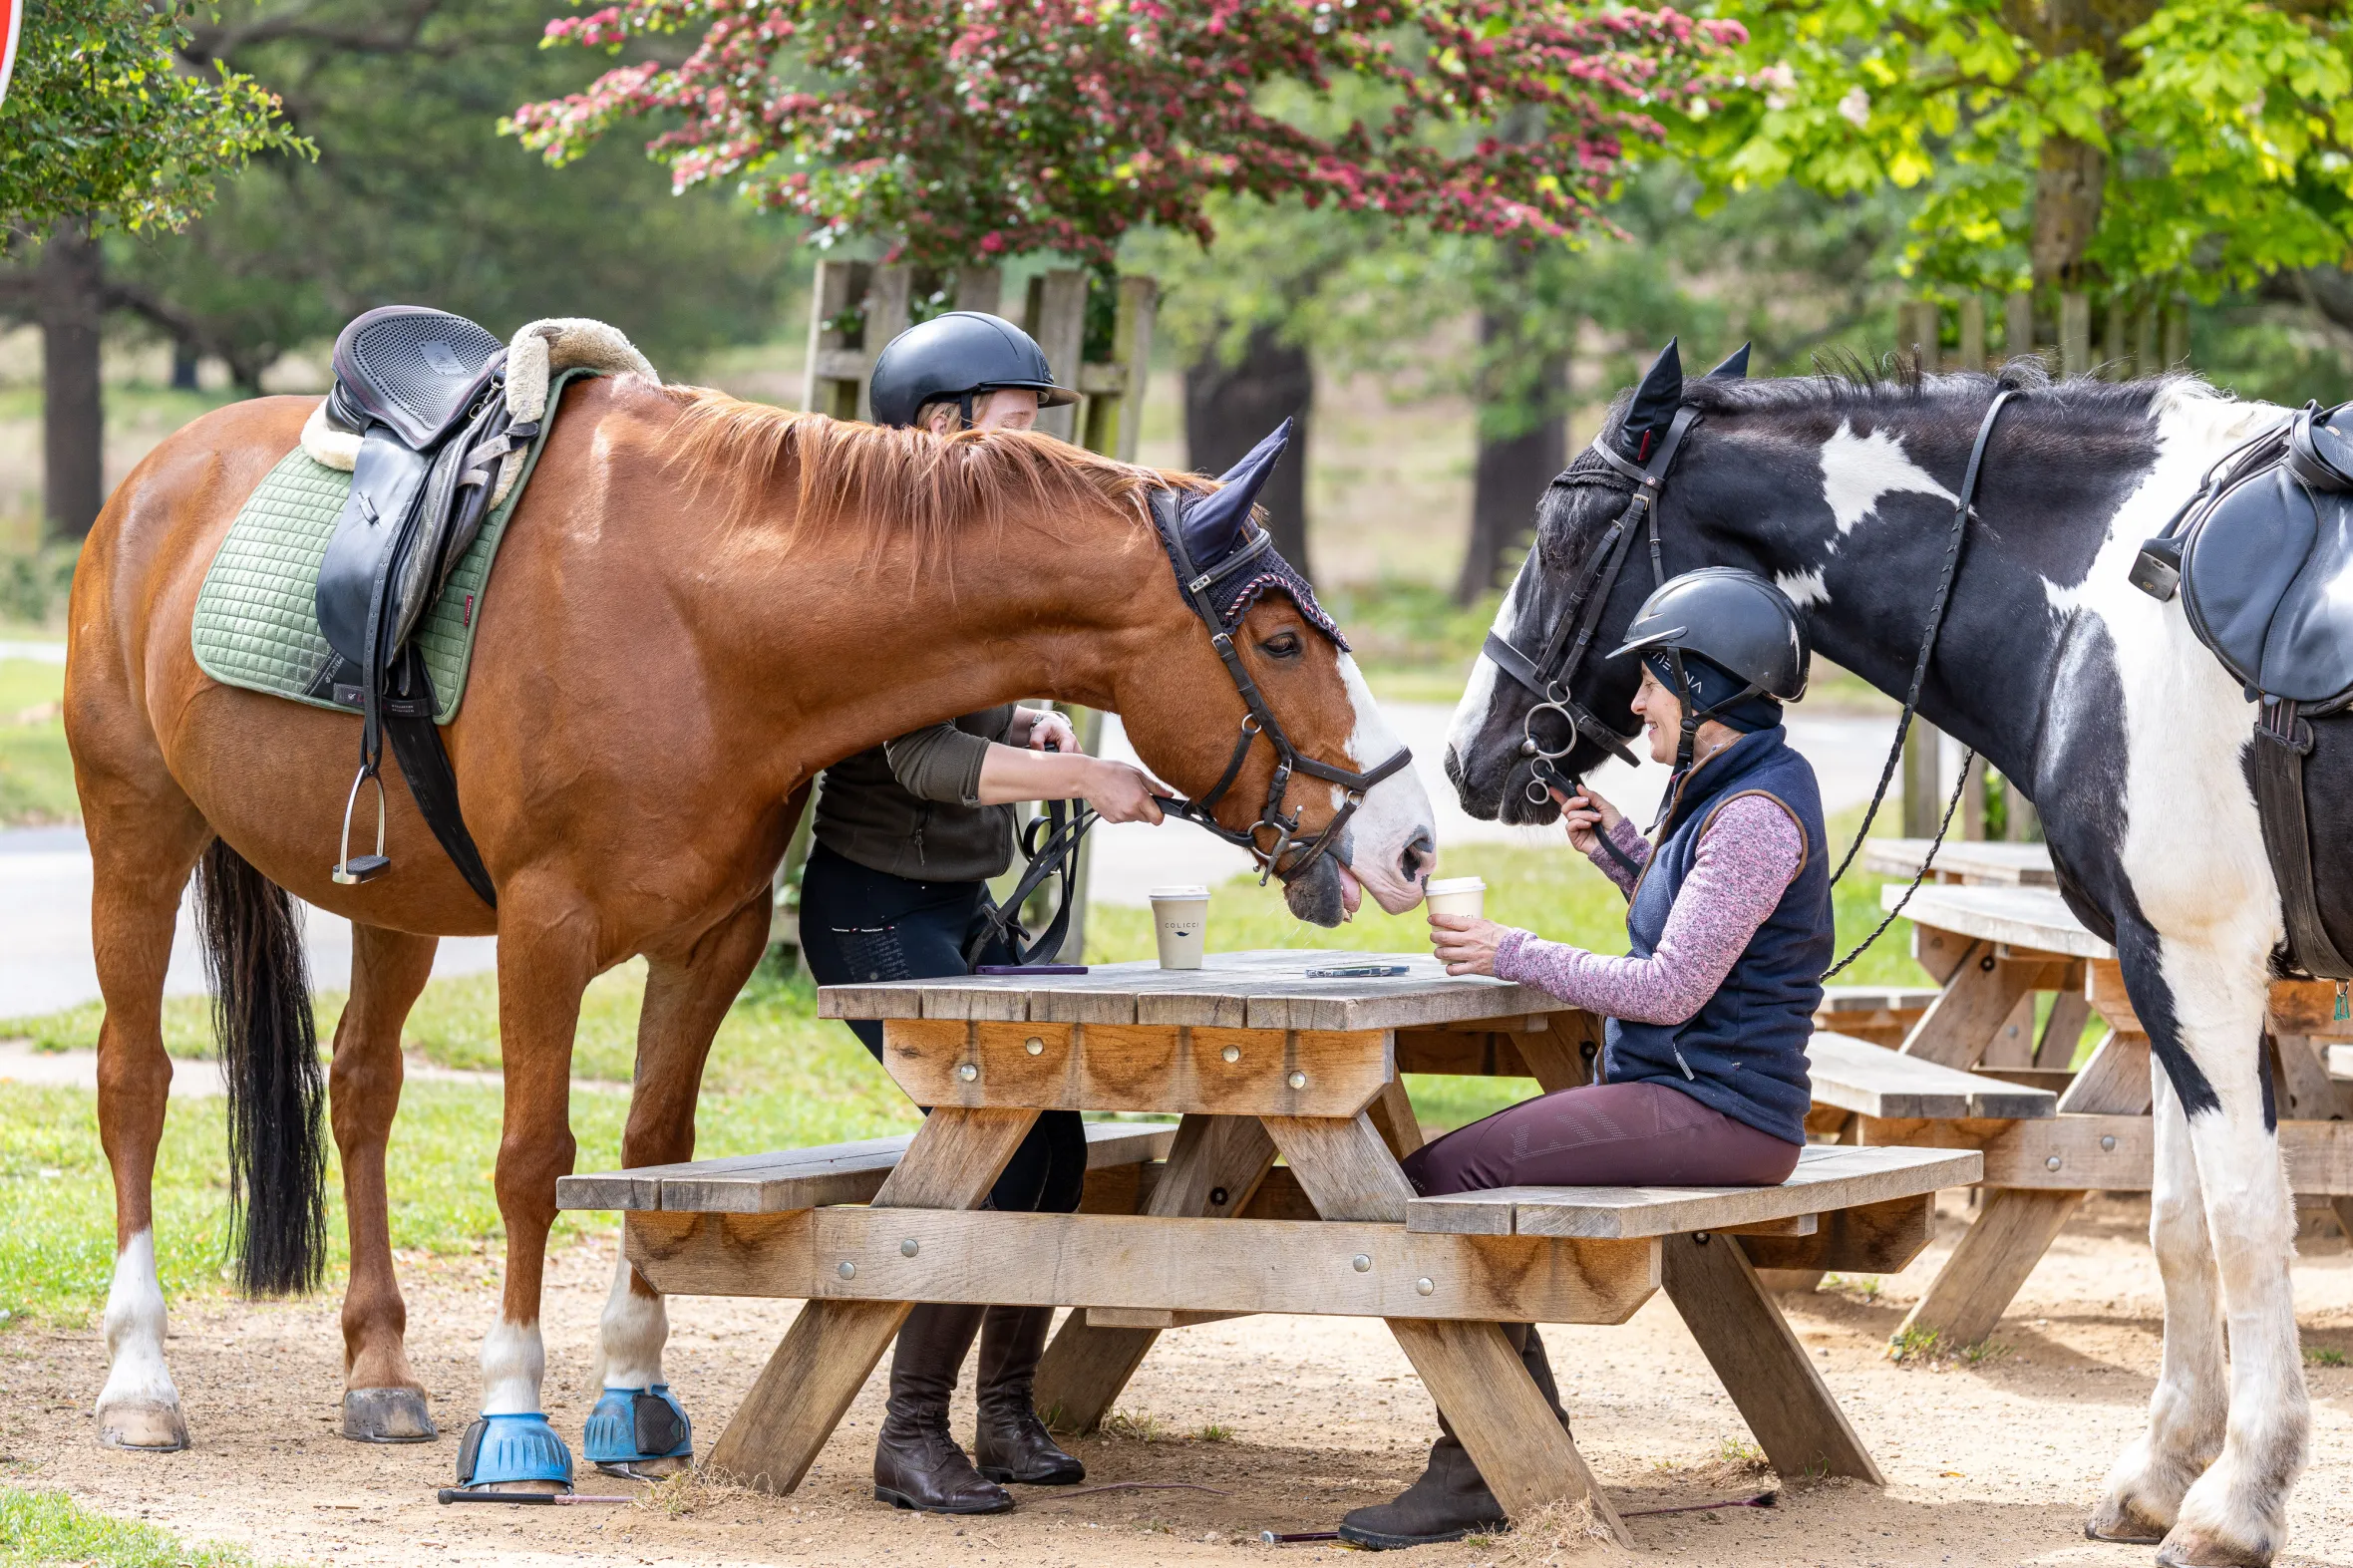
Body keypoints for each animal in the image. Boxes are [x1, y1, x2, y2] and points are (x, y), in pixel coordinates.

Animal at [66, 373, 1438, 1461]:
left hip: (395, 899)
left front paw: (632, 1390)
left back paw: (381, 1372)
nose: (1411, 841)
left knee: (359, 1089)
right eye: (1278, 639)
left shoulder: (710, 936)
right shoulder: (545, 933)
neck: (699, 619)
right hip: (136, 836)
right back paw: (140, 1382)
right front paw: (515, 1407)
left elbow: (654, 1153)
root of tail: (153, 478)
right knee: (135, 1083)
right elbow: (531, 1162)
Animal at [1446, 344, 2314, 1567]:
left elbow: (2243, 1224)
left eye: (1565, 534)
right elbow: (2177, 1228)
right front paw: (2157, 1475)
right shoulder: (2156, 976)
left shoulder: (2201, 964)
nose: (1466, 755)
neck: (2114, 581)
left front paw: (2233, 1503)